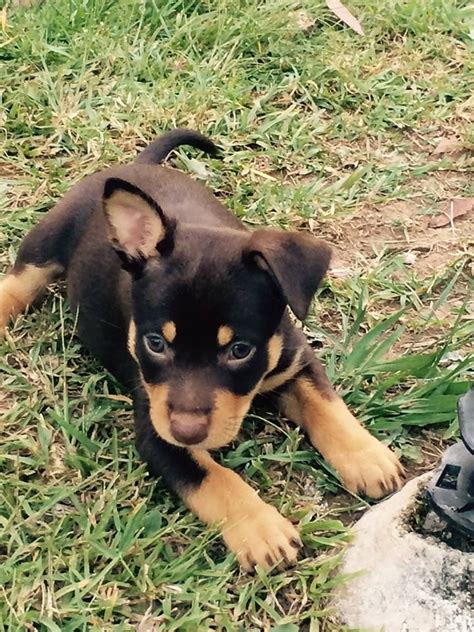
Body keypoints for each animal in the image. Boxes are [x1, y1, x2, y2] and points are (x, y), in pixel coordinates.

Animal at [1, 128, 406, 568]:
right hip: (46, 241)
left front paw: (367, 457)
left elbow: (326, 405)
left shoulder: (295, 360)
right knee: (19, 282)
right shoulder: (157, 433)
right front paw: (261, 529)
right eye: (155, 343)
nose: (188, 431)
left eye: (240, 350)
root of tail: (137, 166)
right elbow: (214, 478)